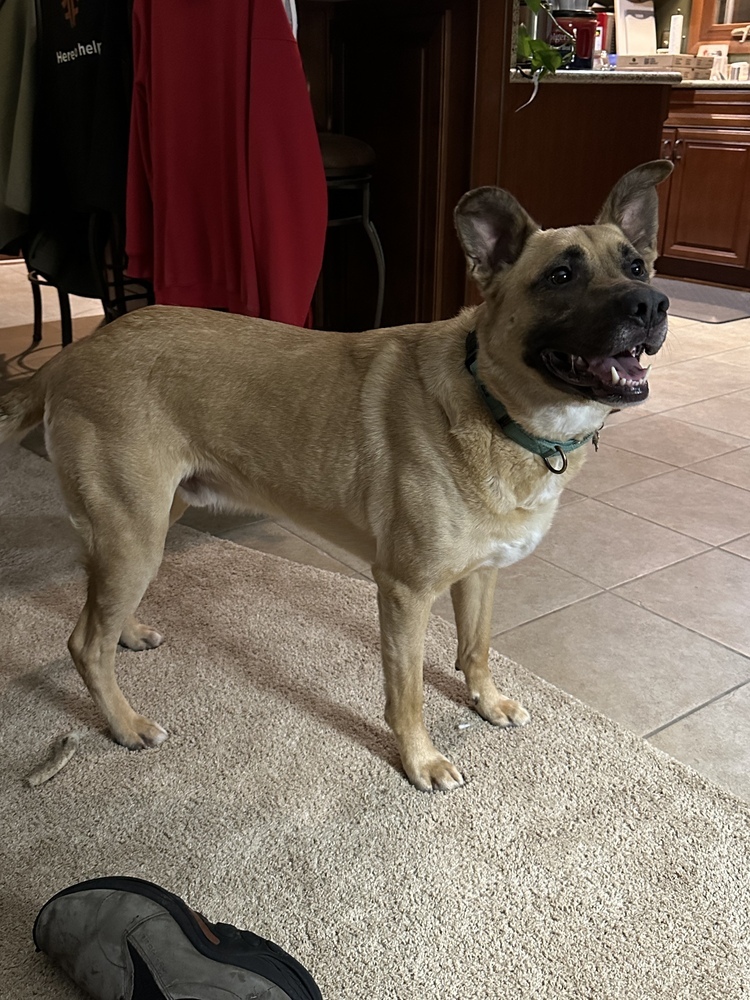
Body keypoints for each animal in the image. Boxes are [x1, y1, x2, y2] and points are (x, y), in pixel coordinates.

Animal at [0, 158, 668, 788]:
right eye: (561, 276)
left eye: (637, 266)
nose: (653, 304)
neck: (498, 405)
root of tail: (70, 354)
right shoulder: (404, 592)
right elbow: (408, 693)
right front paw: (420, 761)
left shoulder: (481, 574)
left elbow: (476, 649)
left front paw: (486, 702)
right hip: (133, 534)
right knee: (84, 644)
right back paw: (124, 724)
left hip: (152, 521)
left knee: (102, 615)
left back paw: (130, 632)